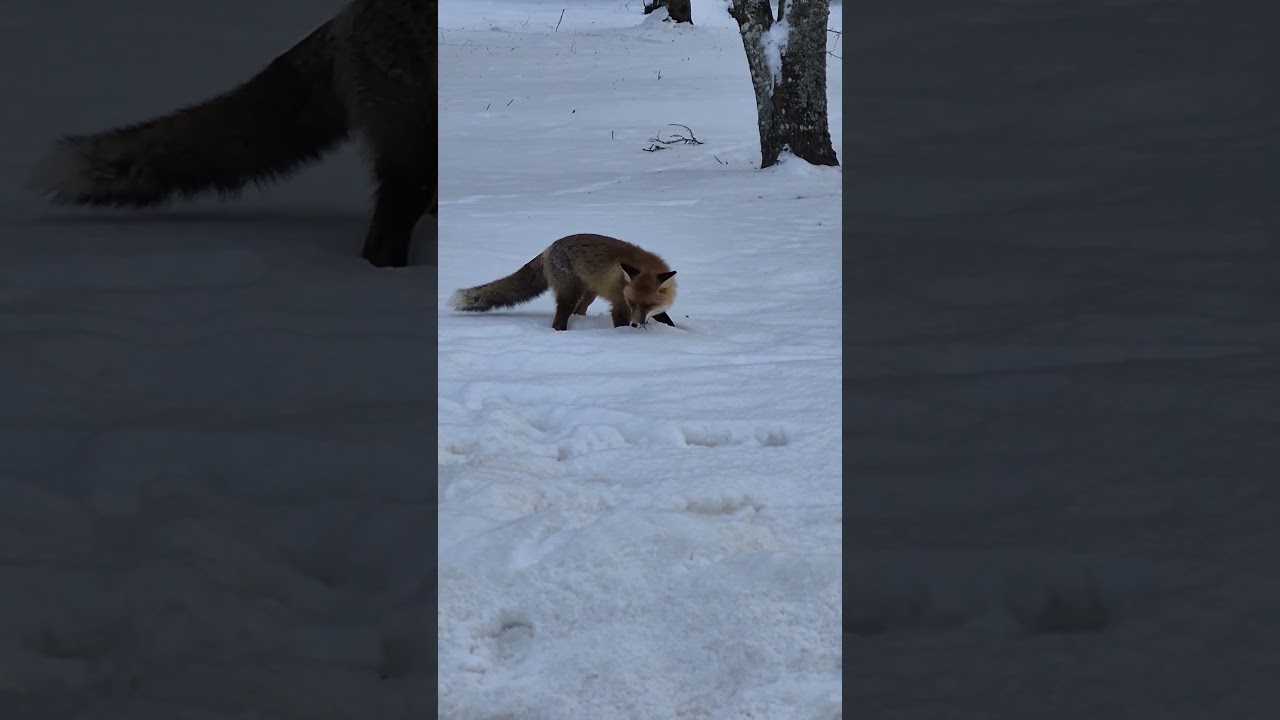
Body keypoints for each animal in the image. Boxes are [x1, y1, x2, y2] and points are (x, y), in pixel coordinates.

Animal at [449, 233, 678, 331]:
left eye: (648, 305)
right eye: (632, 303)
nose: (635, 325)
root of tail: (549, 247)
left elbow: (667, 320)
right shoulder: (619, 304)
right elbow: (619, 321)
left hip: (589, 294)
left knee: (579, 312)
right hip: (571, 294)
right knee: (559, 321)